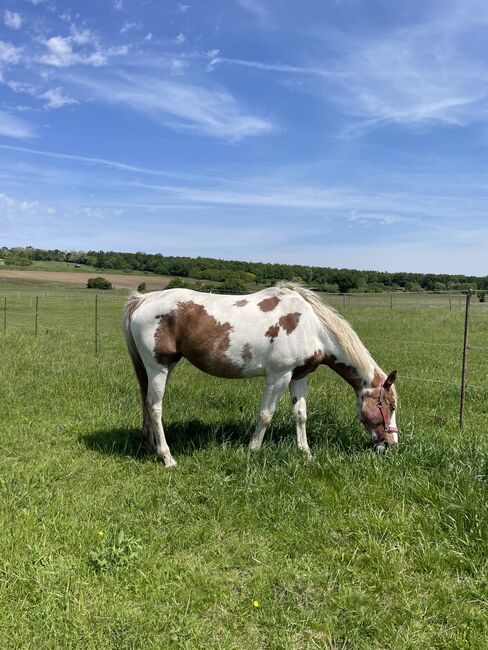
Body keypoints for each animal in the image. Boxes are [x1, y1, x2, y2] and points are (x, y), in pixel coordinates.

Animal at [124, 280, 398, 464]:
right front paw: (253, 450)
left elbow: (300, 415)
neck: (312, 326)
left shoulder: (299, 376)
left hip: (162, 367)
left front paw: (306, 453)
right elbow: (266, 414)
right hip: (158, 366)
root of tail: (142, 300)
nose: (392, 444)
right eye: (391, 405)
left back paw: (150, 447)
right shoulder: (279, 376)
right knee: (155, 407)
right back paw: (167, 457)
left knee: (147, 403)